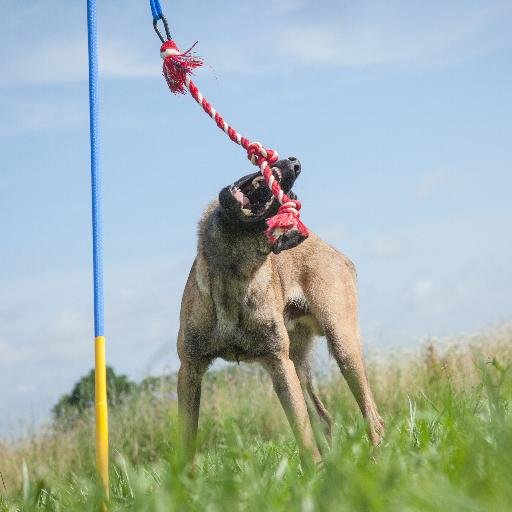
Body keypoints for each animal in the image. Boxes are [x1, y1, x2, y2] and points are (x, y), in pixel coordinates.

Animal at [178, 158, 382, 462]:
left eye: (291, 200)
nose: (295, 164)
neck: (232, 272)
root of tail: (336, 253)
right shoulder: (190, 369)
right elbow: (186, 445)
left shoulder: (279, 364)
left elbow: (304, 438)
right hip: (299, 366)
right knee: (323, 418)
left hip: (342, 345)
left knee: (370, 414)